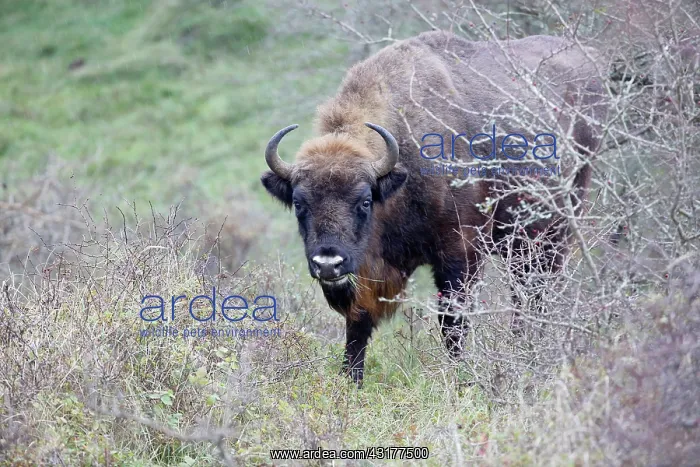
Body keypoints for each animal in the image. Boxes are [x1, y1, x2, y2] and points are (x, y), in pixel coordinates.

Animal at [261, 31, 606, 385]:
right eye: (299, 203)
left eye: (365, 200)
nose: (328, 263)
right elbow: (357, 325)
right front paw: (351, 380)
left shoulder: (459, 254)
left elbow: (453, 322)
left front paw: (459, 376)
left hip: (554, 231)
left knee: (538, 292)